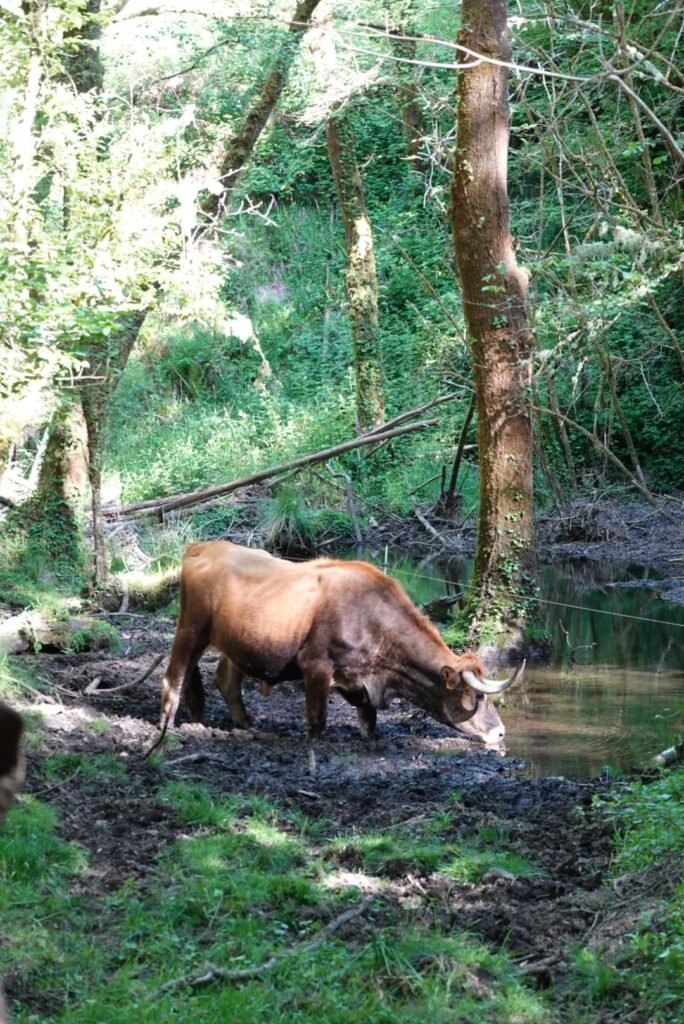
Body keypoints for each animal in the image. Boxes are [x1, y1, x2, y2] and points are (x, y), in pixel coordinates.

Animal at [153, 541, 523, 751]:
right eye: (477, 697)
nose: (502, 733)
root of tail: (203, 546)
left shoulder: (363, 682)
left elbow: (369, 722)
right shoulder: (316, 666)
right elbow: (317, 720)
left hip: (238, 643)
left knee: (226, 679)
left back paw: (248, 727)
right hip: (190, 629)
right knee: (174, 677)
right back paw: (166, 729)